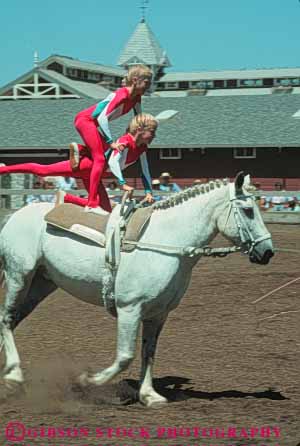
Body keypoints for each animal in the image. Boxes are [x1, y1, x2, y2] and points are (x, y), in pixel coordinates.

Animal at [0, 172, 274, 408]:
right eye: (248, 210)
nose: (267, 252)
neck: (167, 242)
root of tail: (17, 214)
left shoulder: (158, 314)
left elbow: (148, 352)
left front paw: (149, 395)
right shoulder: (129, 309)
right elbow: (125, 356)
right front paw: (86, 381)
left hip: (41, 284)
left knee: (12, 320)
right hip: (19, 277)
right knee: (6, 318)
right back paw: (14, 377)